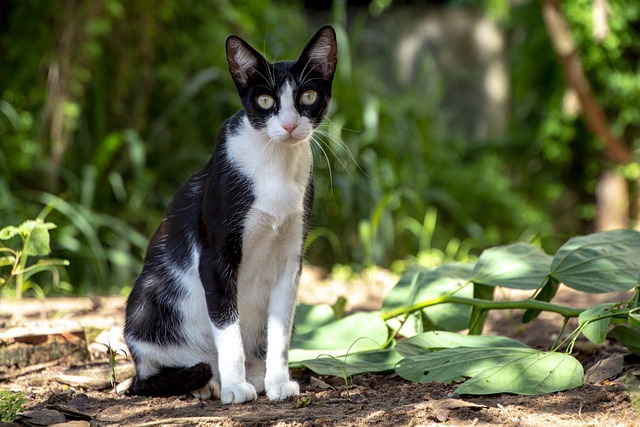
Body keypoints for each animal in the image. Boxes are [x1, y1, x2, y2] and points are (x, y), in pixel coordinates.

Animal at [122, 26, 338, 404]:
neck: (275, 167)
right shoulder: (215, 256)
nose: (290, 125)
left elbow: (281, 329)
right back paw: (207, 382)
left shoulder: (291, 257)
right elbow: (227, 327)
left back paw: (254, 377)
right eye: (265, 101)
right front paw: (236, 388)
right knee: (150, 373)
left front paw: (279, 382)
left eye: (308, 96)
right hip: (147, 300)